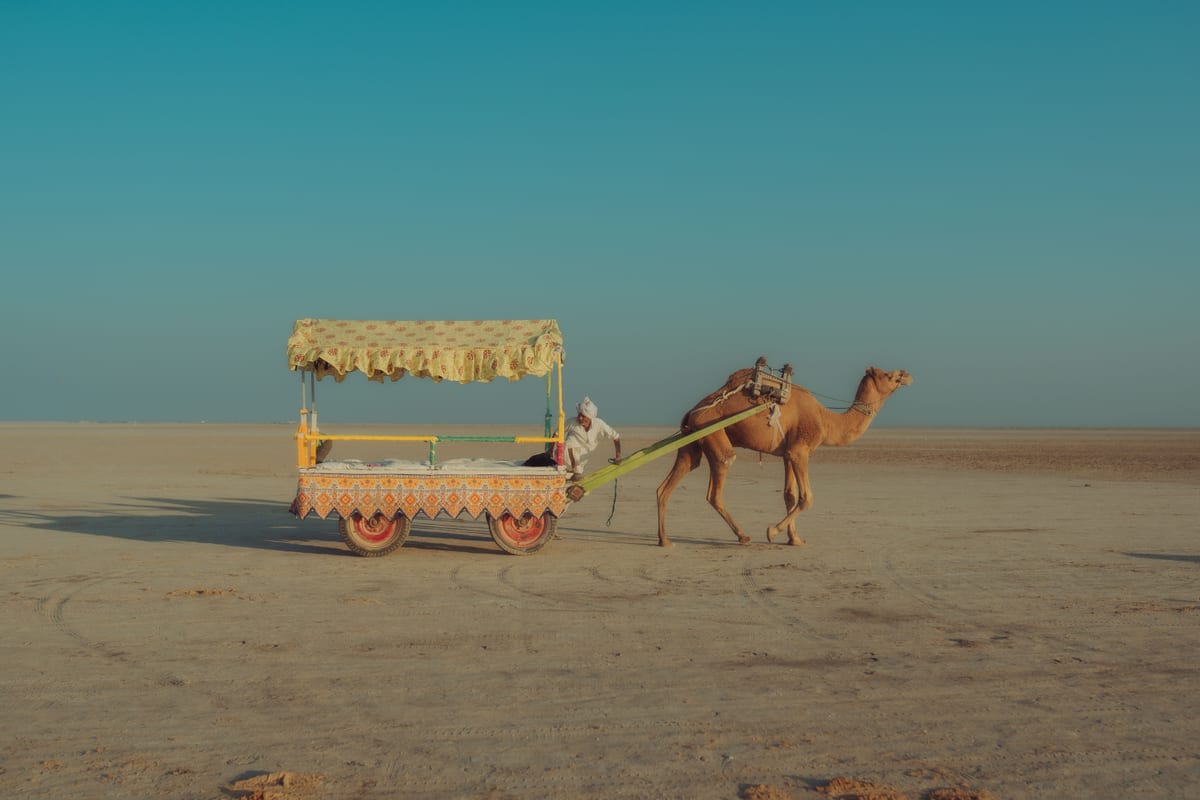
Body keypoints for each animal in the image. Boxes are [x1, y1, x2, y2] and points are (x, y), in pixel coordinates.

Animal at [655, 361, 913, 547]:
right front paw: (772, 531)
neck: (827, 421)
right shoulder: (801, 451)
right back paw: (743, 536)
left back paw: (664, 540)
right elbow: (807, 498)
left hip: (692, 444)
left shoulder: (788, 453)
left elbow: (789, 494)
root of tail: (691, 412)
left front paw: (795, 539)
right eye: (888, 375)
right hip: (714, 436)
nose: (907, 374)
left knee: (666, 486)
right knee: (716, 487)